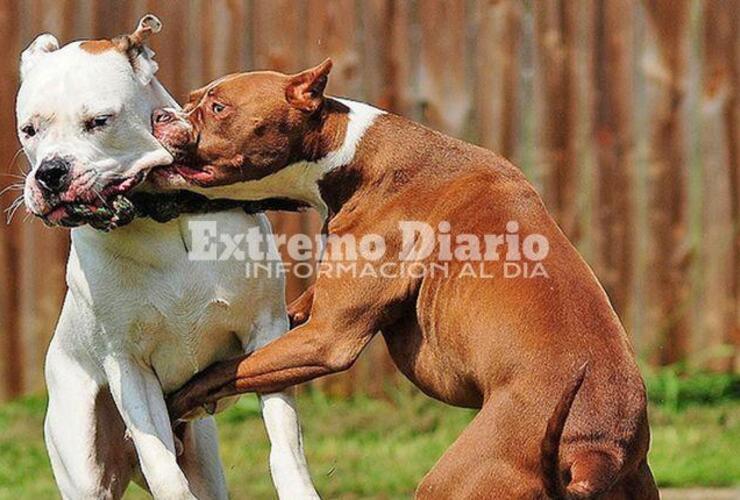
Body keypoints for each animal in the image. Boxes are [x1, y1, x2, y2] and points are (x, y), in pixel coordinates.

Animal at [17, 15, 318, 500]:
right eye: (29, 130)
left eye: (99, 121)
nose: (50, 173)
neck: (160, 217)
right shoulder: (129, 367)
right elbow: (163, 470)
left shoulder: (267, 332)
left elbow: (284, 441)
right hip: (82, 456)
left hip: (205, 461)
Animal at [152, 60, 660, 498]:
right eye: (190, 99)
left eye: (218, 108)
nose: (161, 115)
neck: (350, 155)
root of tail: (598, 453)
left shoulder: (327, 339)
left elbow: (223, 371)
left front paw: (177, 401)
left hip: (457, 480)